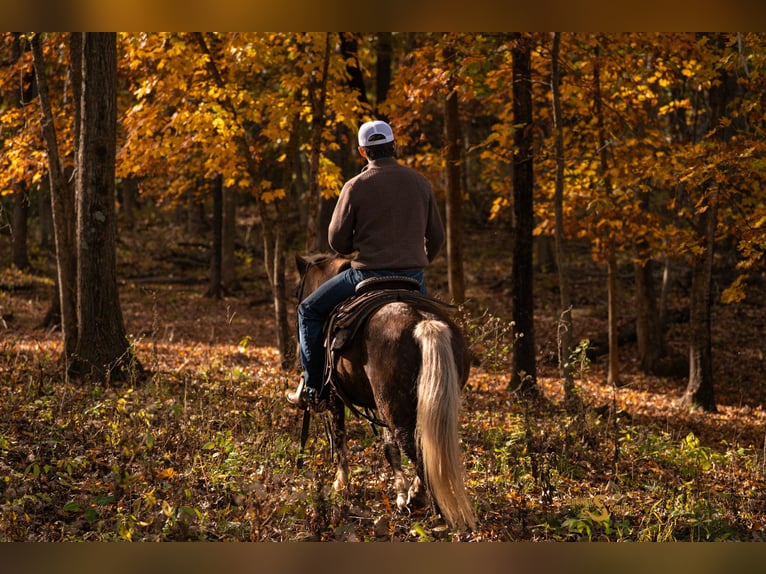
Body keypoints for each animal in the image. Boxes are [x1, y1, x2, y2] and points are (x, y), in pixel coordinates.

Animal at [295, 253, 476, 530]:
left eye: (297, 291)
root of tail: (424, 322)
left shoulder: (336, 396)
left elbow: (340, 437)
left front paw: (340, 484)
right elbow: (389, 449)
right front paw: (400, 494)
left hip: (394, 409)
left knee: (417, 452)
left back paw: (432, 509)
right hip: (410, 404)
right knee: (425, 449)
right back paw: (417, 497)